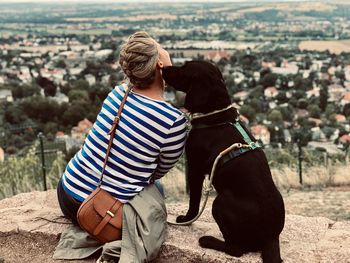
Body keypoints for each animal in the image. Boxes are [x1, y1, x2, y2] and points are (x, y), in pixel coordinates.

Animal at [163, 60, 286, 262]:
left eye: (185, 67)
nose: (164, 68)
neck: (214, 115)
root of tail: (271, 237)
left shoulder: (195, 168)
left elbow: (194, 201)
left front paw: (186, 219)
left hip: (219, 202)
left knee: (236, 249)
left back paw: (208, 241)